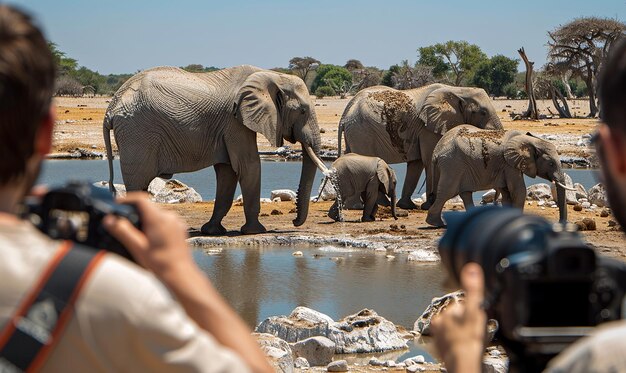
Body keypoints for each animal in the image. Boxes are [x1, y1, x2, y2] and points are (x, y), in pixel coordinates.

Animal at [101, 63, 326, 232]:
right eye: (303, 111)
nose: (294, 222)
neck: (271, 75)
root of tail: (111, 108)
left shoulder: (229, 126)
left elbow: (227, 172)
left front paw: (212, 231)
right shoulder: (235, 121)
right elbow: (248, 166)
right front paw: (255, 231)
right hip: (137, 133)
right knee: (137, 183)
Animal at [336, 83, 502, 209]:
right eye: (482, 112)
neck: (458, 90)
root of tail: (346, 111)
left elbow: (417, 163)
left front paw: (407, 206)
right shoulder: (427, 128)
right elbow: (429, 160)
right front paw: (428, 206)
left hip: (355, 132)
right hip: (362, 132)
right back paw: (364, 206)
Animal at [424, 124, 572, 227]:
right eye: (551, 163)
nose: (559, 223)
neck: (529, 140)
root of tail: (436, 151)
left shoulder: (506, 166)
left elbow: (506, 193)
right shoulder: (509, 164)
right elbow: (518, 190)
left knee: (465, 193)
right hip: (453, 165)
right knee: (446, 192)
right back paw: (436, 224)